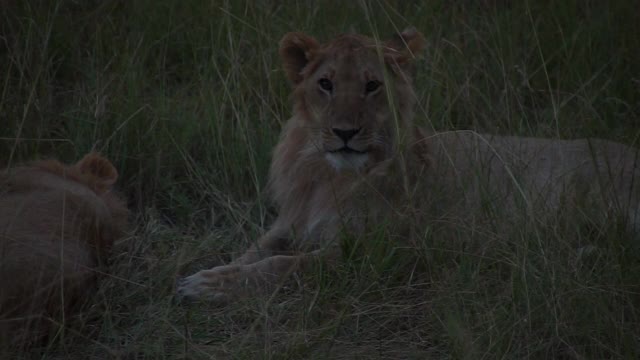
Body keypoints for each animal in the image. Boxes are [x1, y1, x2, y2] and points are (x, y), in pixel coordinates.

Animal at [179, 28, 640, 302]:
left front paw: (210, 286)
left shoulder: (376, 251)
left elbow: (283, 265)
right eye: (325, 84)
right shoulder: (289, 224)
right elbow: (252, 252)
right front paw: (206, 272)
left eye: (372, 85)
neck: (327, 175)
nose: (344, 132)